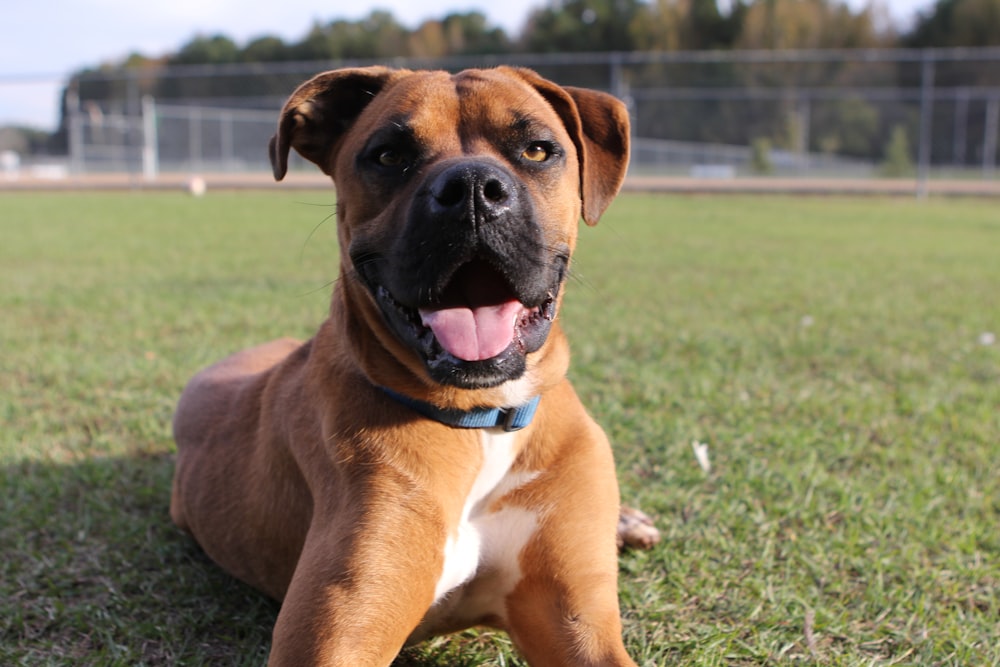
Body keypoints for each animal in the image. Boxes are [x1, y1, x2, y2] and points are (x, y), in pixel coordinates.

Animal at [171, 64, 656, 667]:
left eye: (537, 150)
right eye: (388, 155)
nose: (472, 188)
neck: (481, 420)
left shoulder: (578, 621)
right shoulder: (335, 636)